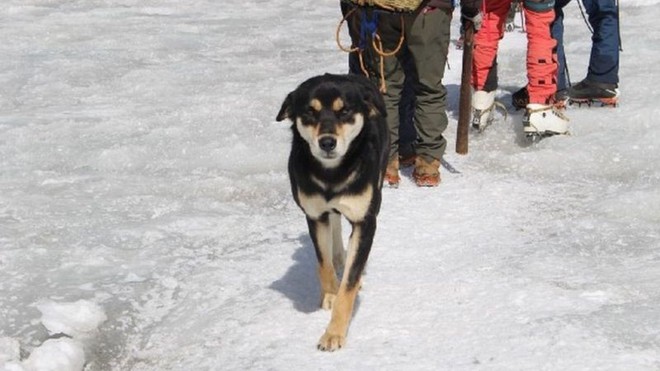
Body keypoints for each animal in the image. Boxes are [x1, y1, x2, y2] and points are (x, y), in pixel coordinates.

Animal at [276, 75, 390, 352]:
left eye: (344, 111)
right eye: (310, 112)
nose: (327, 142)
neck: (332, 175)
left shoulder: (365, 221)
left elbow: (350, 282)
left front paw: (334, 332)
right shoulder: (314, 215)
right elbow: (323, 264)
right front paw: (329, 294)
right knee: (336, 225)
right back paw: (339, 255)